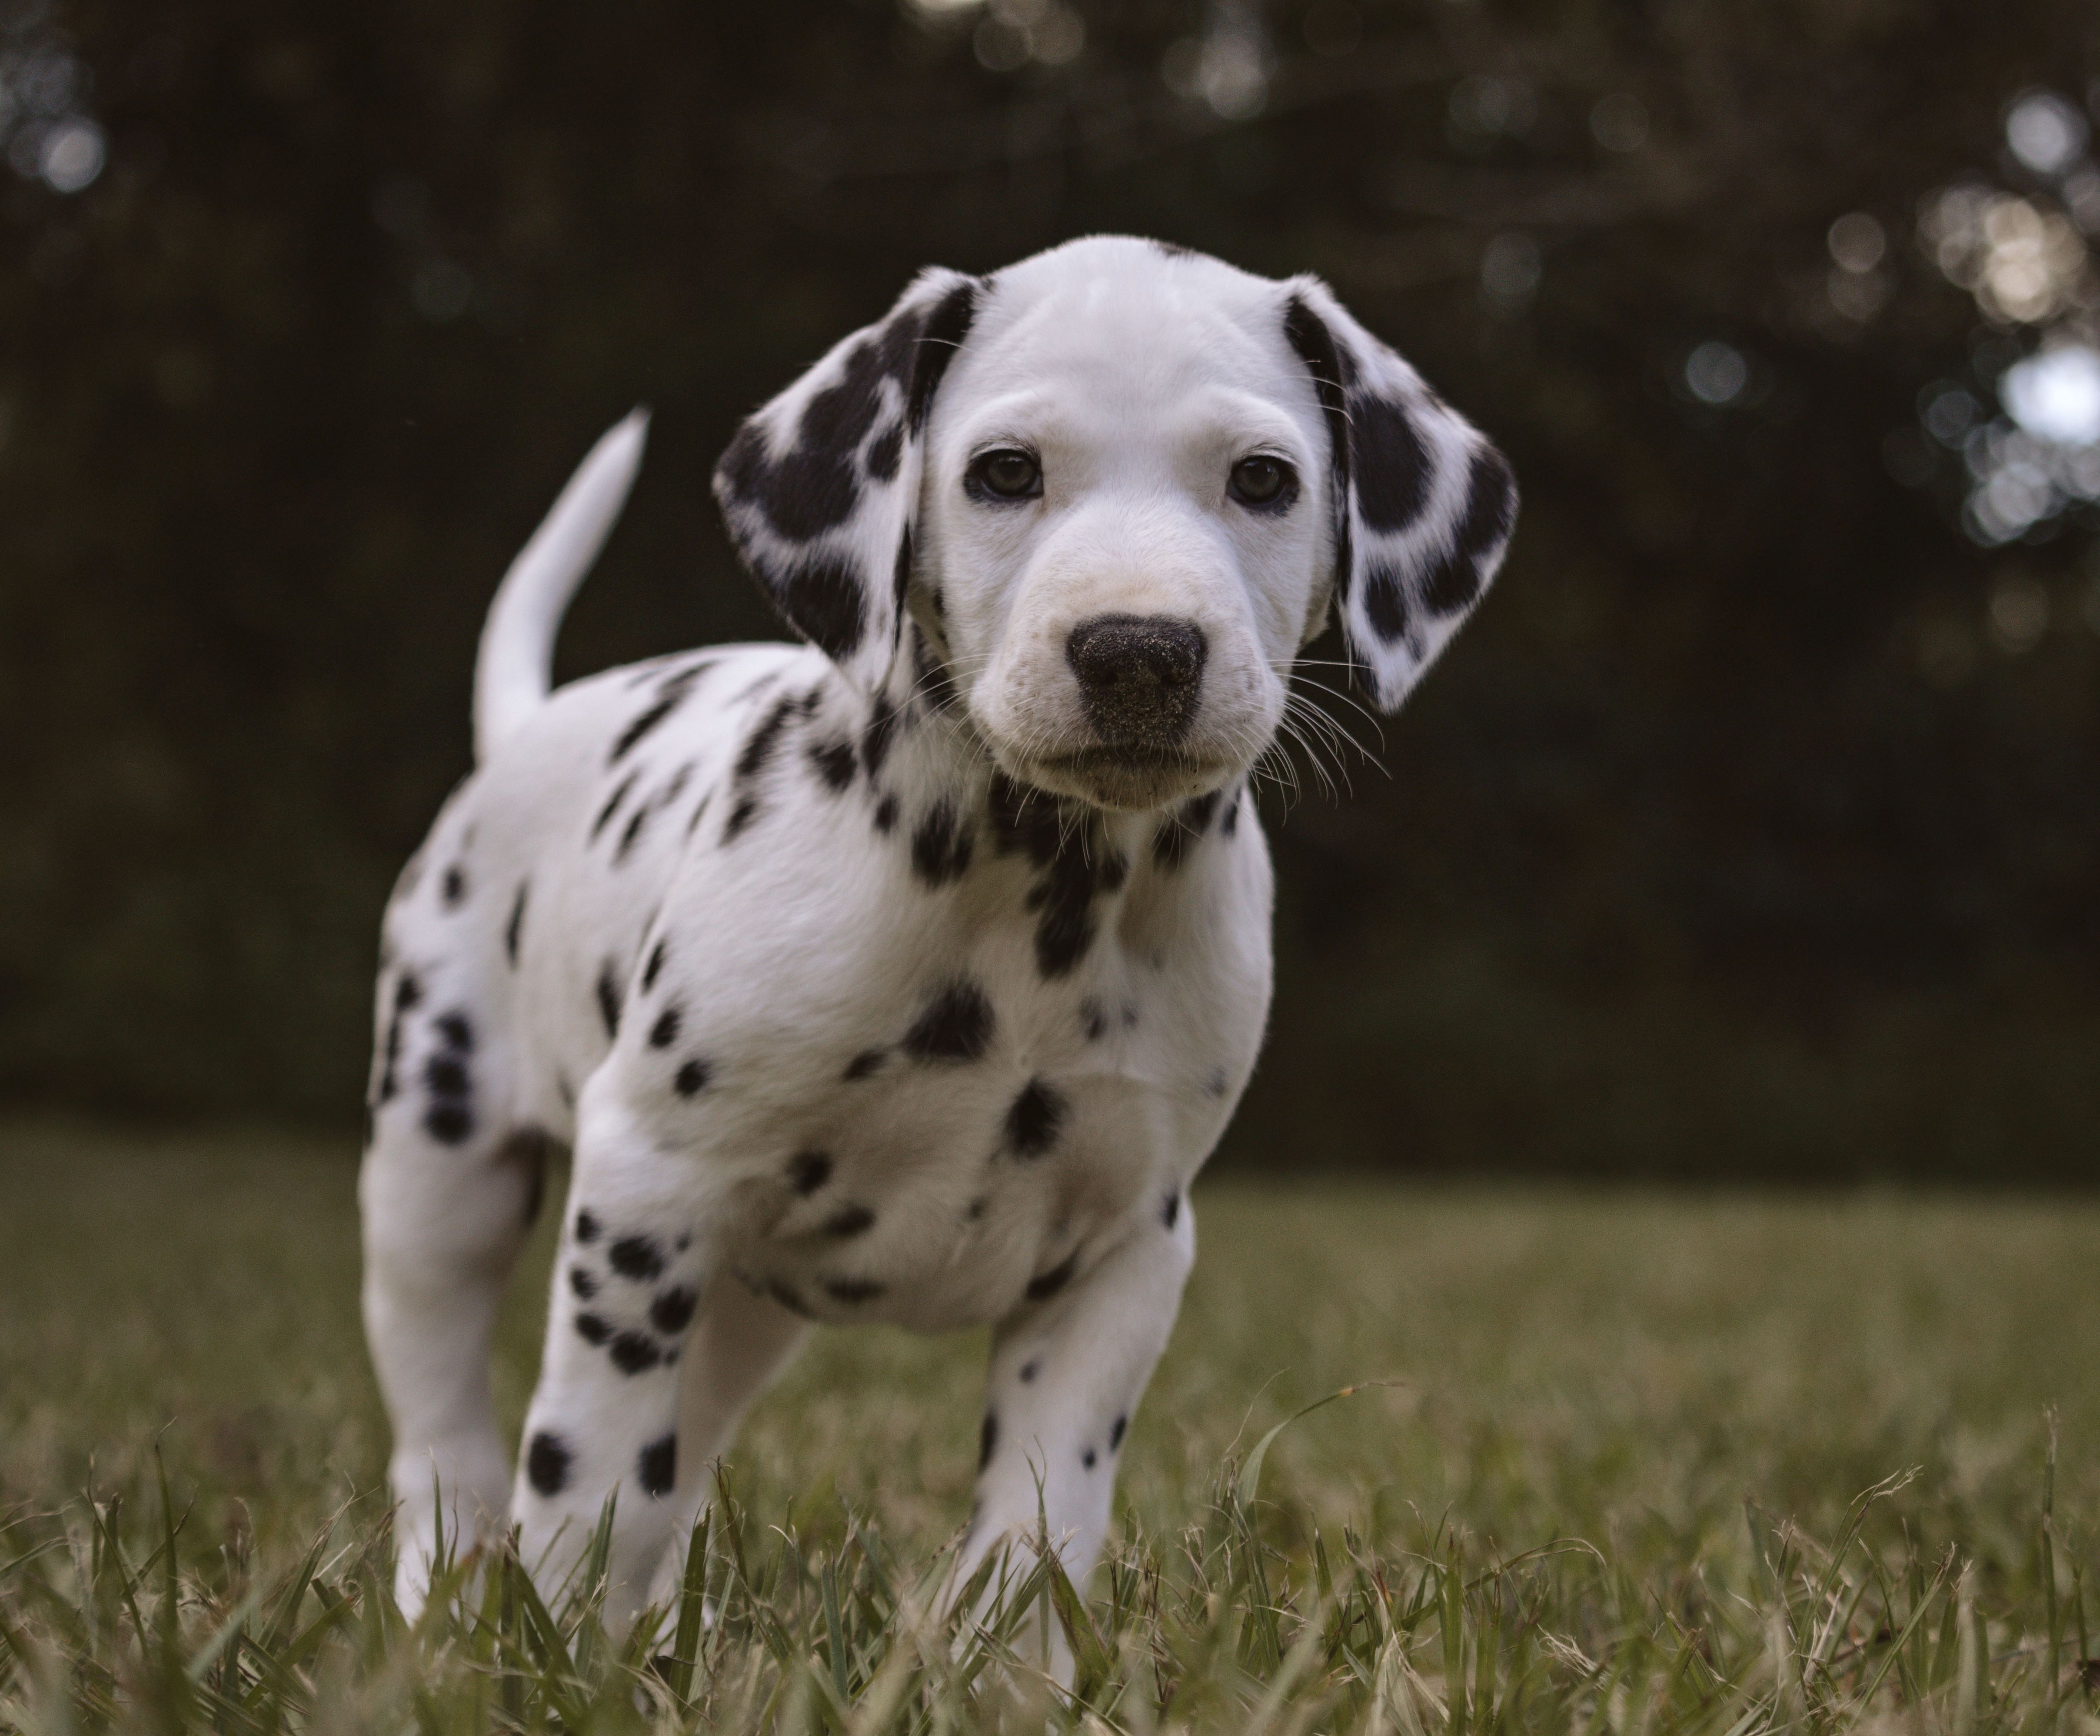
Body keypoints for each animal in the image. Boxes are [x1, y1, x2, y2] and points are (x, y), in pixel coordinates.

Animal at [357, 231, 1512, 1629]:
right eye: (1004, 471)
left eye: (1262, 479)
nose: (1138, 650)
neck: (1036, 900)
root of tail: (525, 731)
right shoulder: (646, 1185)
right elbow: (590, 1473)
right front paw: (557, 1636)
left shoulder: (1127, 1250)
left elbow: (1038, 1523)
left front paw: (1015, 1657)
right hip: (440, 1171)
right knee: (445, 1433)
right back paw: (446, 1593)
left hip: (739, 1302)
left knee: (686, 1446)